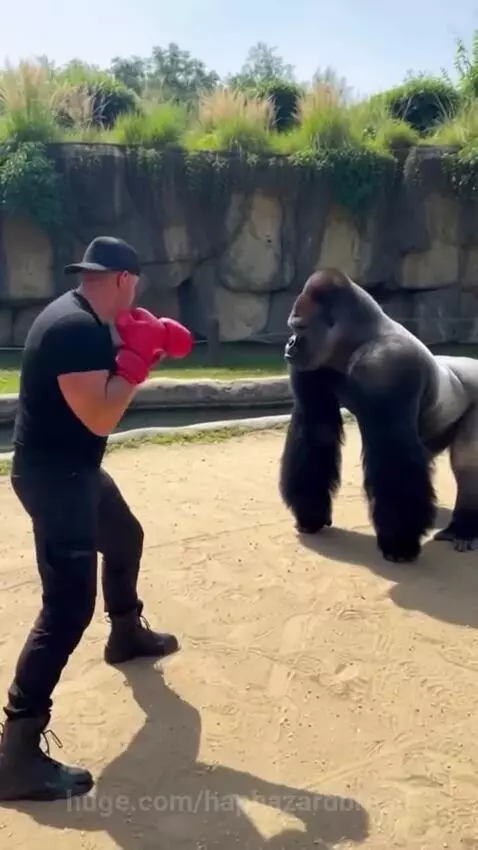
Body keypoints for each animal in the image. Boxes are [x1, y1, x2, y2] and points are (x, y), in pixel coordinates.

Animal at [279, 267, 478, 563]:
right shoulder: (312, 366)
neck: (357, 339)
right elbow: (316, 431)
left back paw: (464, 527)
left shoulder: (387, 364)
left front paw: (399, 543)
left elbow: (391, 451)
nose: (290, 343)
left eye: (299, 327)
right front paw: (310, 512)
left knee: (465, 461)